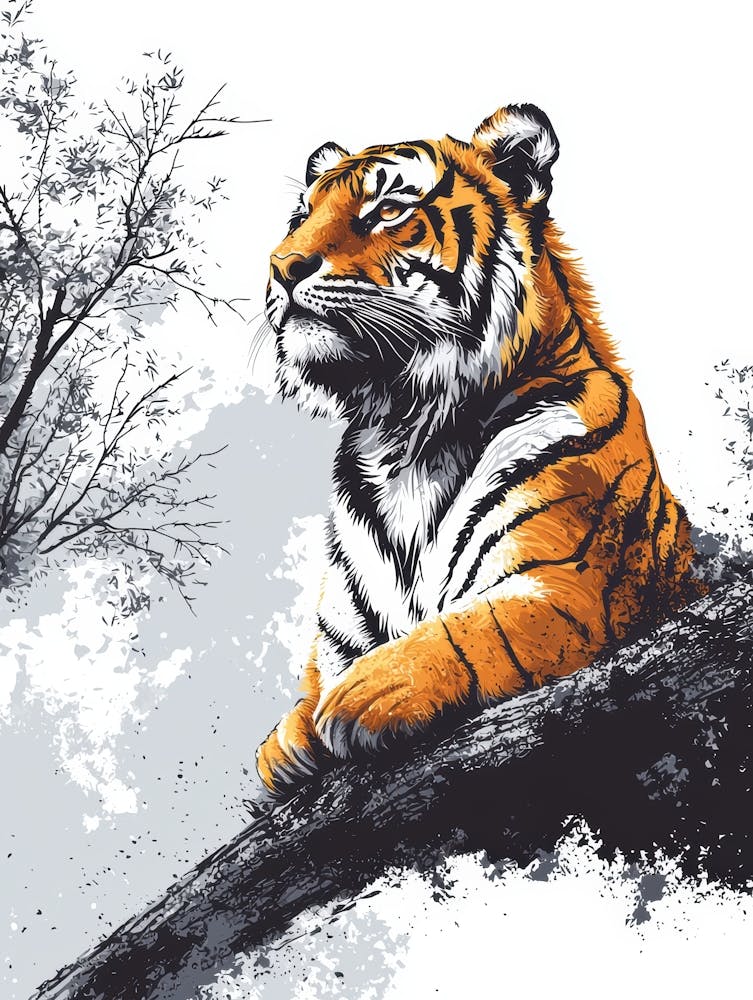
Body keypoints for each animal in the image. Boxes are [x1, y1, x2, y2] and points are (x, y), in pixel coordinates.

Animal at [256, 102, 703, 795]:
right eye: (299, 217)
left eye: (387, 208)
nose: (281, 266)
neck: (404, 437)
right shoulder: (337, 639)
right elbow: (292, 717)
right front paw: (291, 736)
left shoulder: (559, 591)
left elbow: (463, 631)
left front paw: (363, 694)